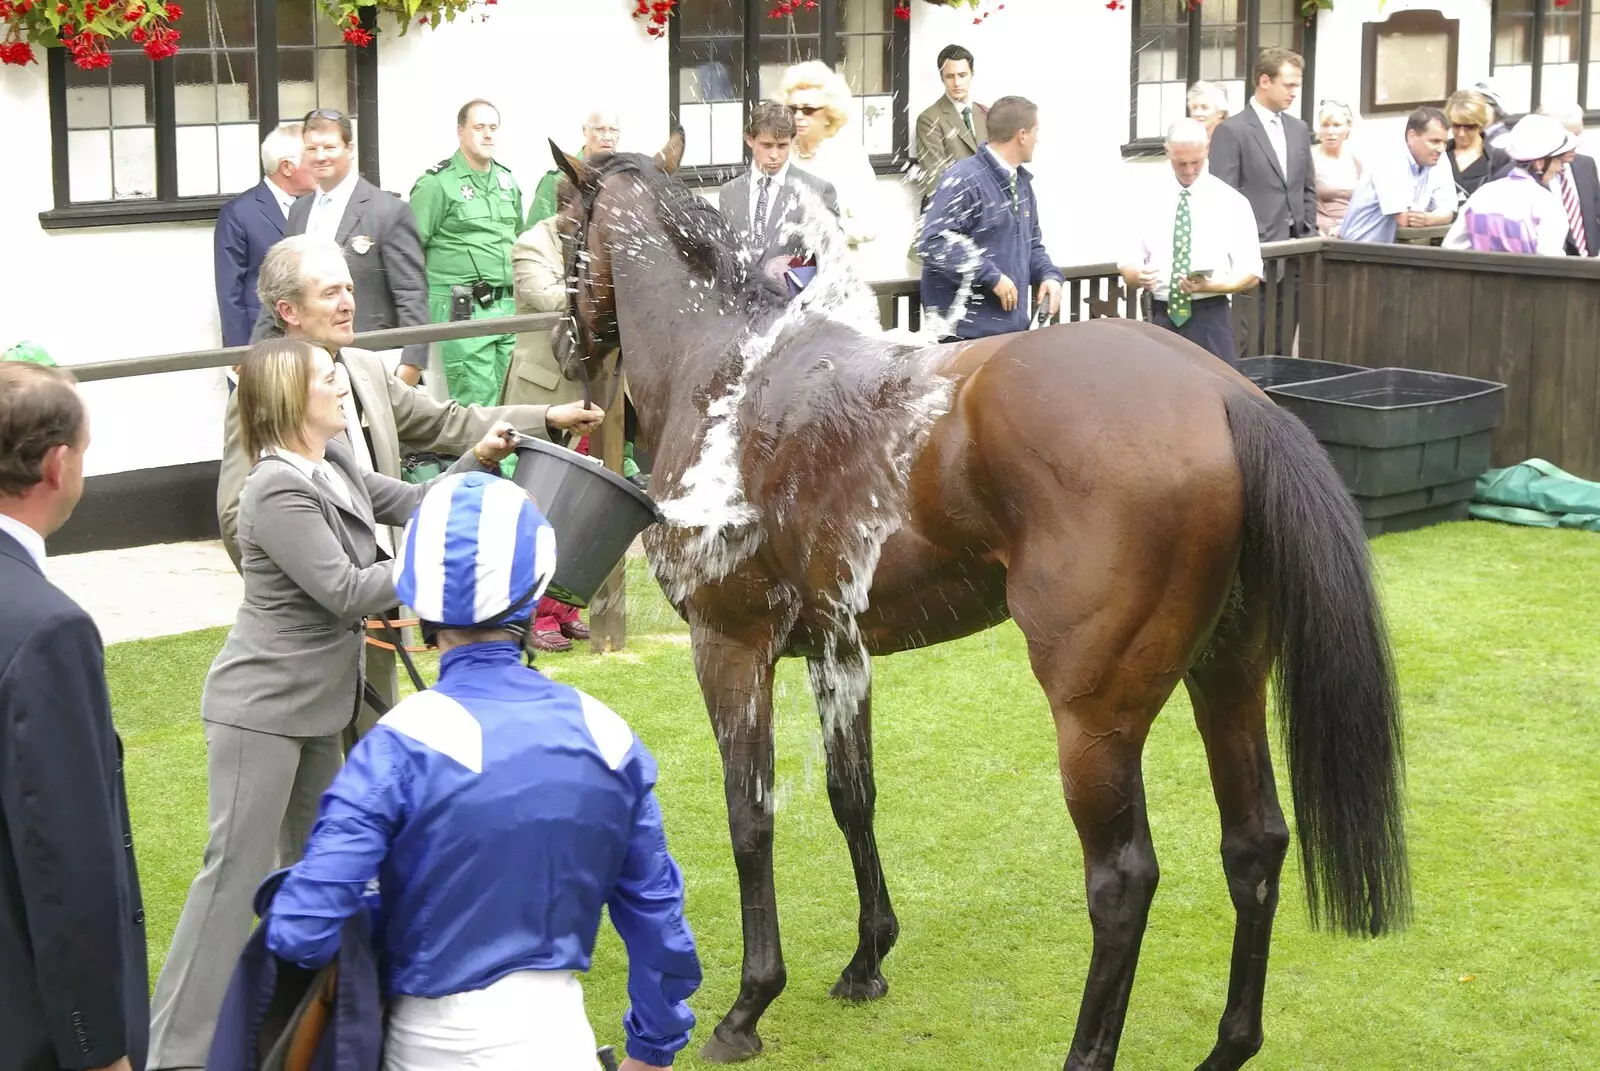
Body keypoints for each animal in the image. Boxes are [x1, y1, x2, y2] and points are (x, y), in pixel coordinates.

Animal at [553, 137, 1414, 1062]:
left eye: (561, 224)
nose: (567, 346)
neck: (727, 370)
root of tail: (1223, 393)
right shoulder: (835, 652)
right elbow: (852, 796)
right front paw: (867, 958)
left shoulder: (731, 645)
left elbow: (751, 819)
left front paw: (748, 1004)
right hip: (1228, 674)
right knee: (1253, 842)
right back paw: (1227, 1046)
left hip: (1096, 717)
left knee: (1122, 879)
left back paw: (1088, 1048)